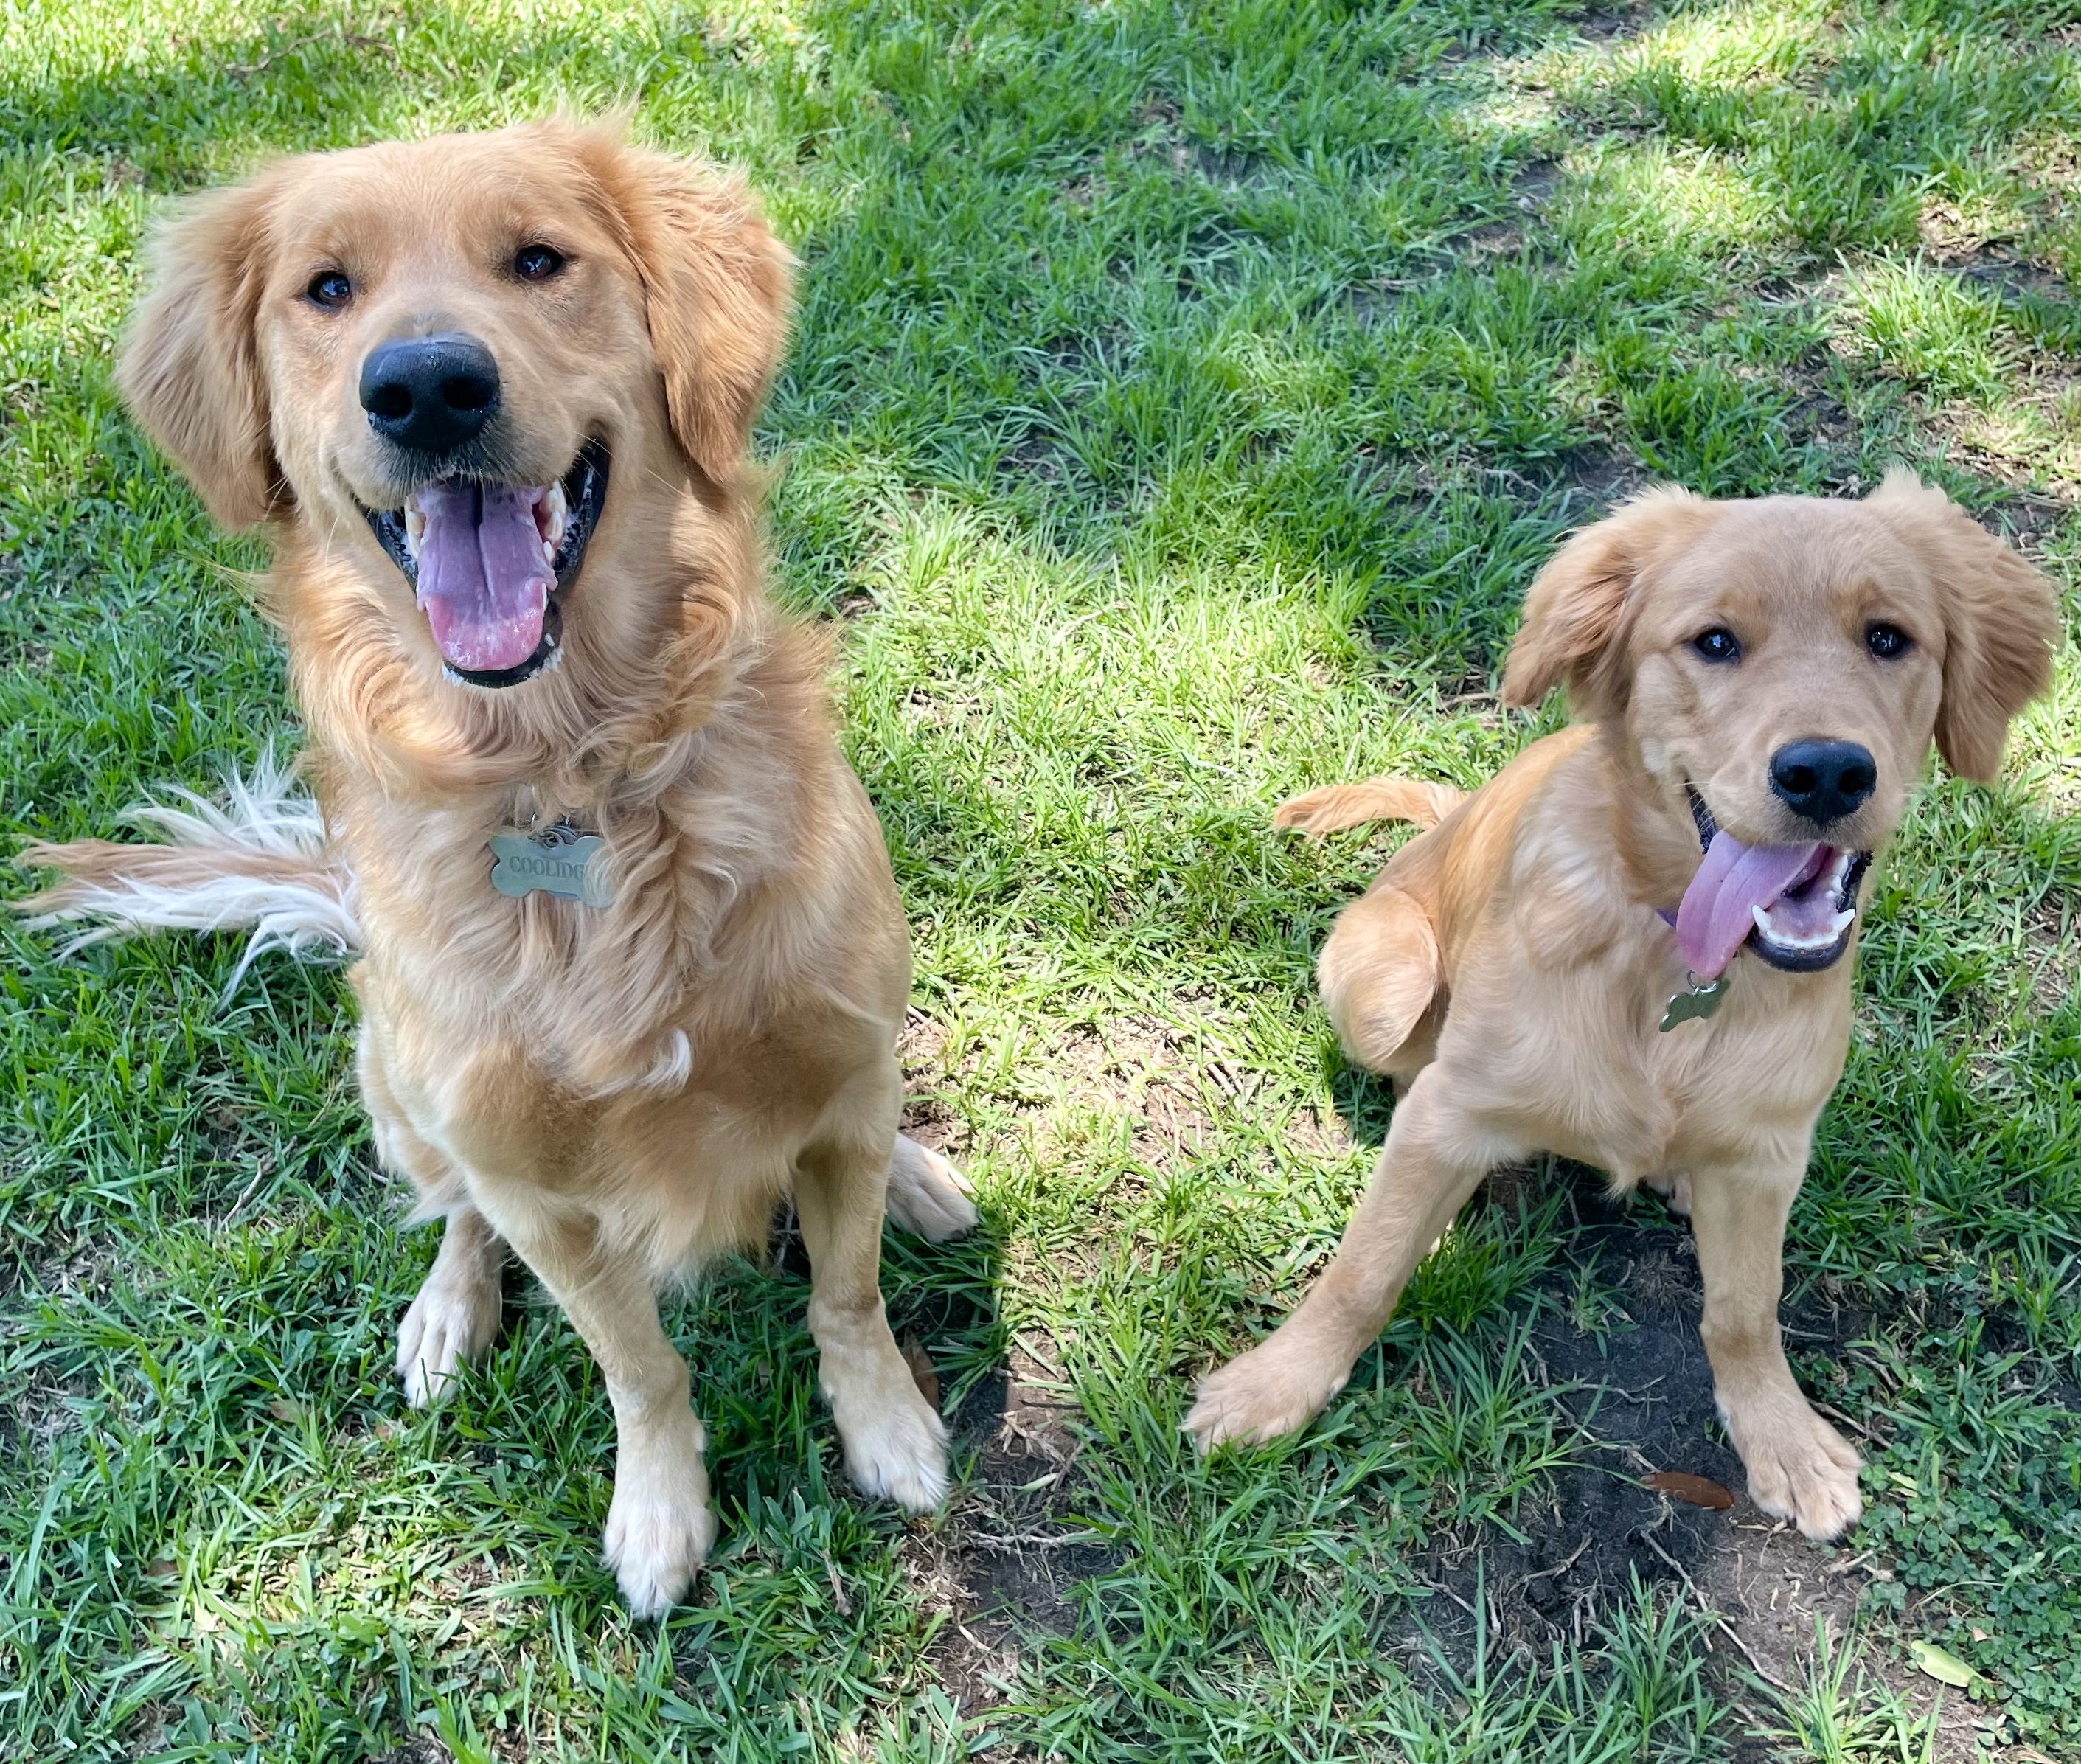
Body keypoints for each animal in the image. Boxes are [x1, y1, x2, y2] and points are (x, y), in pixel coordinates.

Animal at [24, 120, 978, 1614]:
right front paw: (660, 1512)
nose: (425, 386)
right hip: (398, 1084)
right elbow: (637, 1363)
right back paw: (444, 1312)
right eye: (326, 290)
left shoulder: (830, 1059)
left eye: (539, 260)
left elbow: (845, 1290)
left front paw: (886, 1427)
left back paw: (923, 1177)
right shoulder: (542, 1190)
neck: (572, 783)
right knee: (451, 1207)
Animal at [1190, 476, 2064, 1539]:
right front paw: (1274, 1384)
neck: (1676, 968)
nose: (1824, 772)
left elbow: (1745, 1309)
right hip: (1385, 988)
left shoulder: (1769, 1153)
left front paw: (1779, 1436)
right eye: (1713, 642)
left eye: (1888, 638)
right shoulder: (1452, 1106)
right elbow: (1361, 1270)